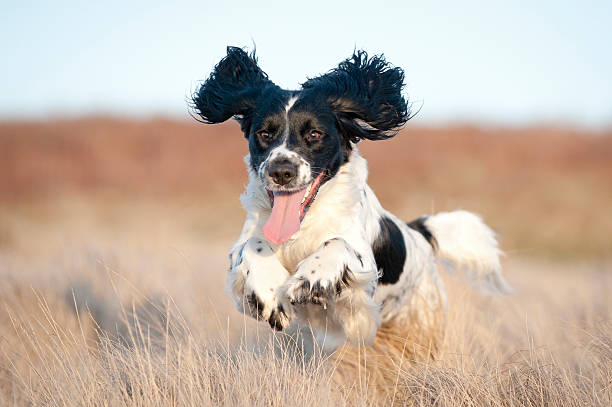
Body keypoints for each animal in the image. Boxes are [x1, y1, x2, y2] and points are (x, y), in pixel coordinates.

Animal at [194, 47, 510, 354]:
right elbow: (252, 245)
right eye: (264, 133)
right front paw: (271, 296)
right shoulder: (244, 245)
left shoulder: (362, 274)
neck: (303, 224)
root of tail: (419, 233)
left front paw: (309, 279)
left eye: (314, 133)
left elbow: (337, 244)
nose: (281, 171)